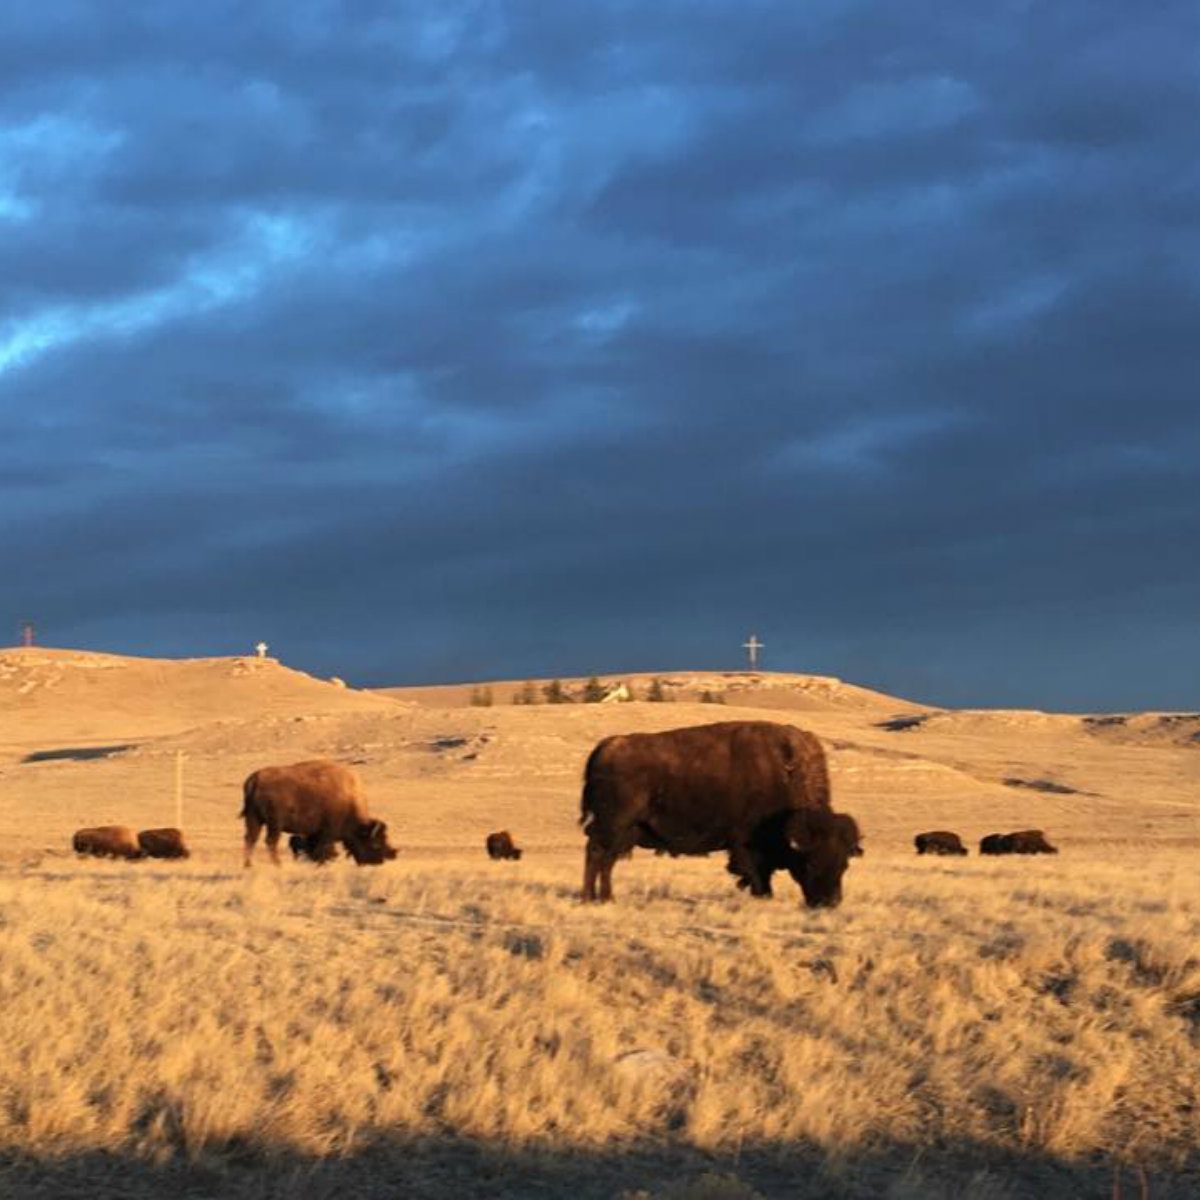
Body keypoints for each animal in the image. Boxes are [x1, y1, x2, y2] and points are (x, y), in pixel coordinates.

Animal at [241, 759, 398, 867]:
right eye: (375, 843)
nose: (381, 861)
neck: (348, 800)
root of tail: (255, 779)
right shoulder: (327, 831)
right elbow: (323, 849)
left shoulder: (314, 833)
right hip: (274, 824)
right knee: (270, 842)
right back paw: (277, 865)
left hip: (254, 819)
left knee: (251, 839)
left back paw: (248, 866)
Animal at [580, 720, 861, 907]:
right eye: (810, 861)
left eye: (844, 863)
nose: (829, 902)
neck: (785, 771)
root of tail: (607, 747)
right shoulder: (747, 845)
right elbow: (757, 874)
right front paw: (763, 897)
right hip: (612, 825)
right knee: (596, 855)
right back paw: (591, 898)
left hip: (626, 832)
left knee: (607, 861)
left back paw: (607, 898)